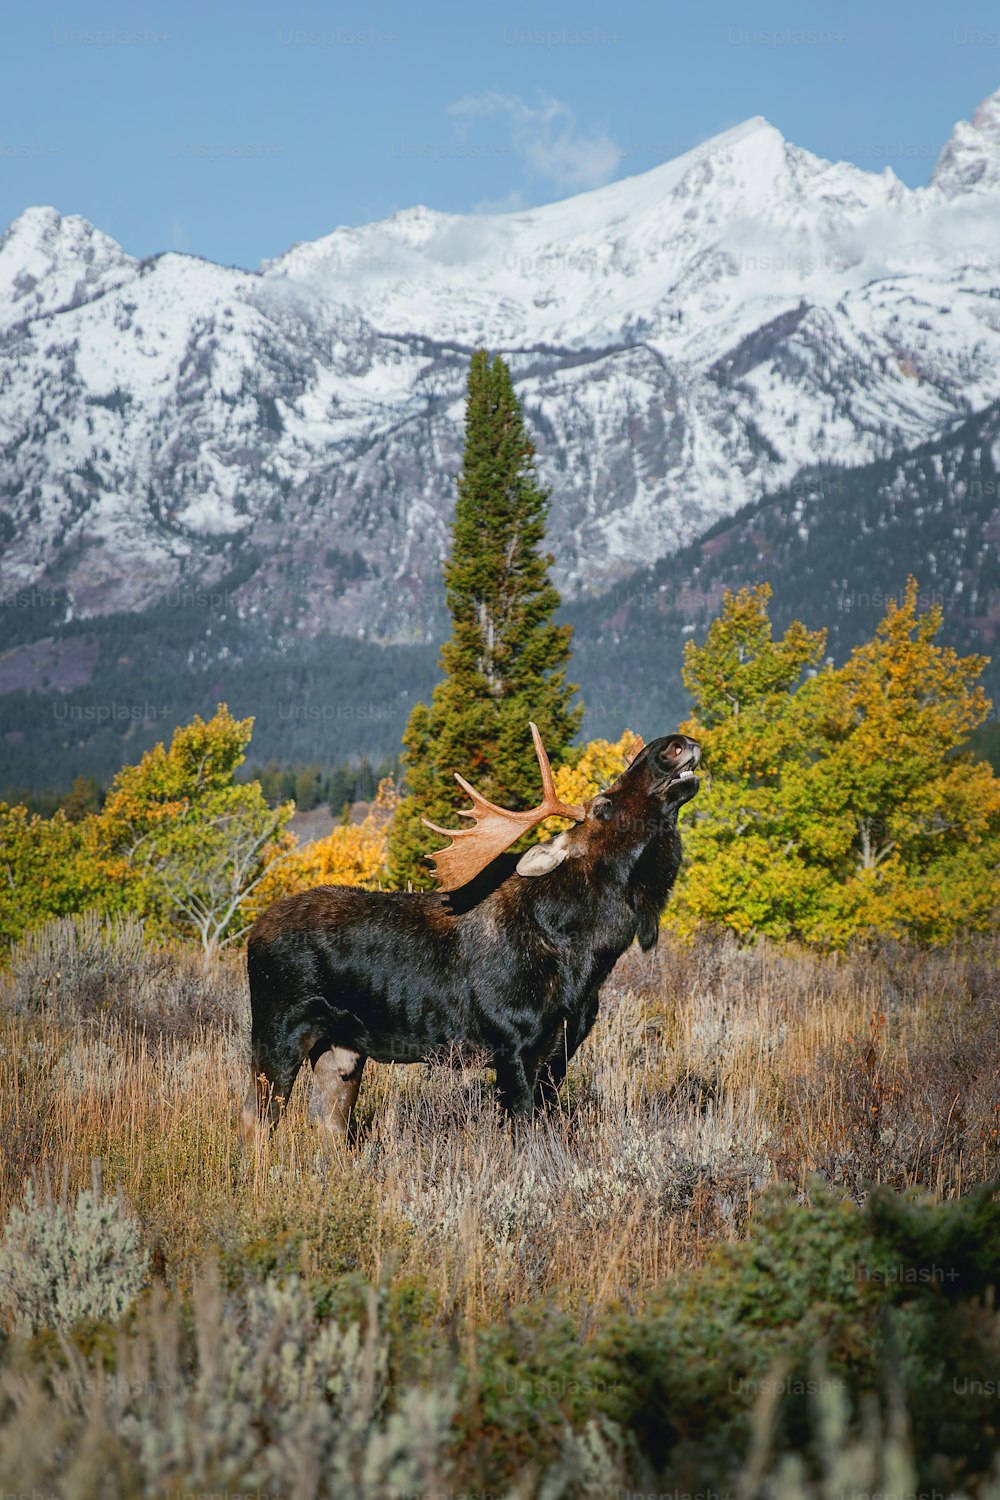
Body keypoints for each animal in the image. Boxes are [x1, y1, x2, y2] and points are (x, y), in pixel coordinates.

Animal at [239, 720, 701, 1140]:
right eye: (603, 804)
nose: (675, 744)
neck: (585, 958)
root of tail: (253, 933)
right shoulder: (512, 1043)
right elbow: (524, 1131)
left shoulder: (562, 1049)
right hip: (277, 1028)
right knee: (257, 1120)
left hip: (342, 1046)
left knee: (328, 1124)